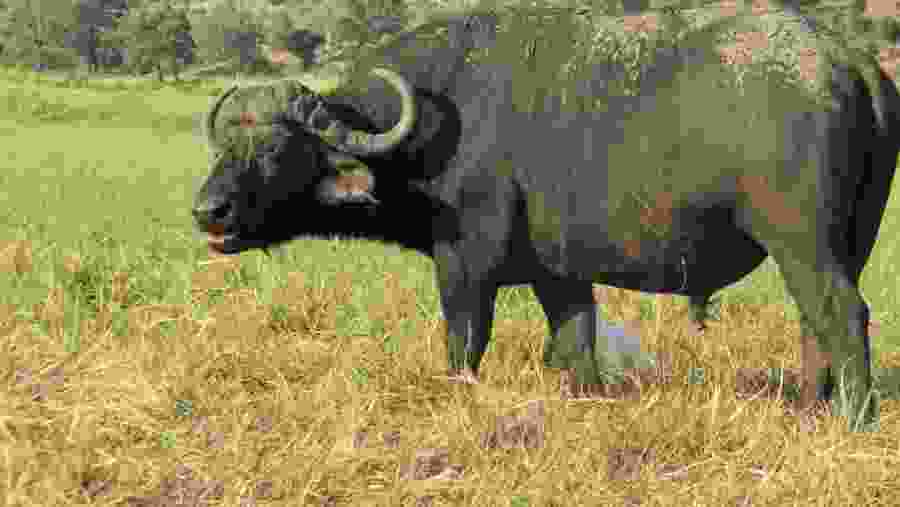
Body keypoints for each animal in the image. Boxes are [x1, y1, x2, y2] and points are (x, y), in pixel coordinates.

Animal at [193, 6, 899, 430]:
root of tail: (848, 61)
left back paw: (851, 417)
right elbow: (575, 344)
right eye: (224, 142)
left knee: (842, 315)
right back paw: (808, 409)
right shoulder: (559, 275)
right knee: (816, 324)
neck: (426, 130)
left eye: (276, 148)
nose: (207, 211)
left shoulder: (464, 264)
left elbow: (464, 342)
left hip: (801, 242)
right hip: (845, 243)